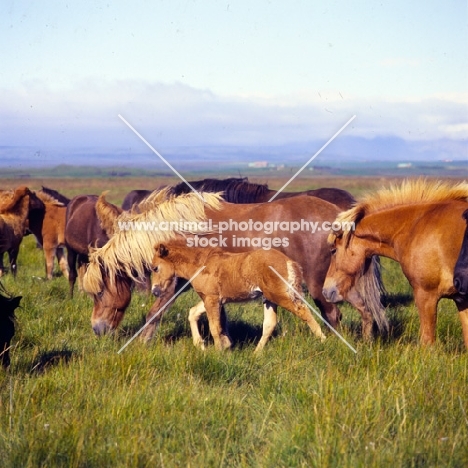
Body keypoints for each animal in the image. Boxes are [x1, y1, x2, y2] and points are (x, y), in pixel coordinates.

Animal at [81, 186, 388, 340]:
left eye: (99, 291)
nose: (97, 329)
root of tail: (337, 216)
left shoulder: (173, 284)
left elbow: (154, 314)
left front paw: (144, 345)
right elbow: (218, 317)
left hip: (319, 286)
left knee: (333, 316)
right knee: (363, 309)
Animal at [151, 239, 326, 352]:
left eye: (155, 268)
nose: (155, 291)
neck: (200, 263)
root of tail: (290, 262)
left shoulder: (211, 298)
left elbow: (215, 327)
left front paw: (219, 351)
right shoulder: (212, 298)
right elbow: (193, 313)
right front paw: (201, 344)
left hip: (280, 296)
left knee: (303, 311)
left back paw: (323, 340)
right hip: (269, 299)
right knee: (270, 324)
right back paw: (256, 354)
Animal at [322, 179, 468, 348]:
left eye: (333, 250)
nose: (326, 291)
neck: (417, 227)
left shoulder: (426, 296)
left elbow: (427, 342)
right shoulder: (461, 300)